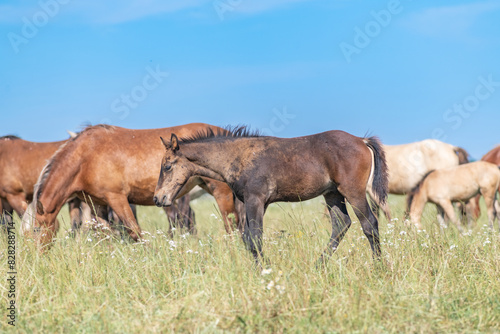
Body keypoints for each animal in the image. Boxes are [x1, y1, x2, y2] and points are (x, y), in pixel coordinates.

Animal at [22, 123, 241, 248]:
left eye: (36, 230)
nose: (34, 258)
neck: (84, 156)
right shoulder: (98, 204)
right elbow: (108, 234)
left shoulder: (117, 198)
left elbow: (134, 231)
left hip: (220, 192)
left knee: (231, 223)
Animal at [154, 128, 388, 266]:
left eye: (167, 166)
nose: (158, 198)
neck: (239, 157)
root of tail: (361, 140)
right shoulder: (257, 203)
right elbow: (248, 238)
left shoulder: (255, 200)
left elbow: (255, 238)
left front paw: (265, 269)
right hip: (332, 194)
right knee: (341, 223)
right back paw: (318, 265)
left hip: (352, 191)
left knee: (369, 223)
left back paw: (379, 267)